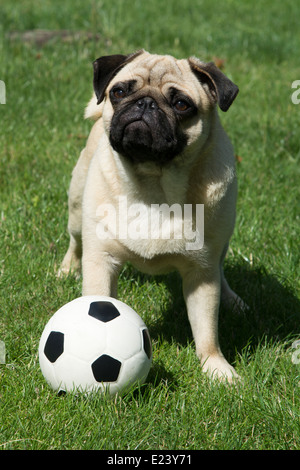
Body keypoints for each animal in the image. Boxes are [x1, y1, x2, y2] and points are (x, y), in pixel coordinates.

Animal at [59, 49, 245, 382]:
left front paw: (216, 369)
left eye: (181, 104)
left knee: (220, 269)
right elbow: (98, 300)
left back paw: (231, 300)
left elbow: (207, 330)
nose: (145, 103)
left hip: (222, 241)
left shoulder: (201, 274)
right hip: (77, 207)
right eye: (119, 92)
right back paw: (67, 269)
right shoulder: (100, 261)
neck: (153, 186)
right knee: (75, 242)